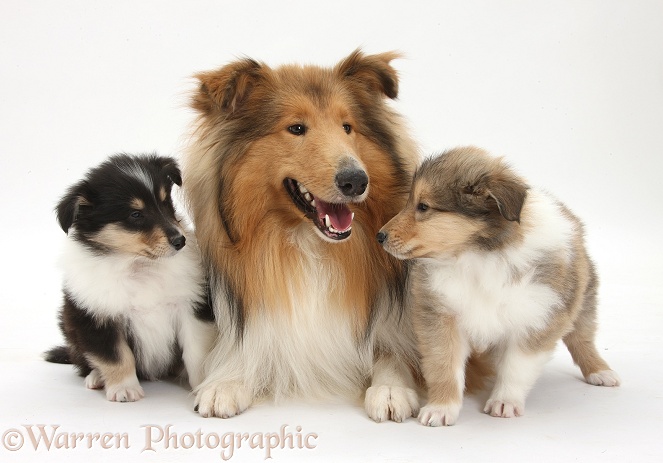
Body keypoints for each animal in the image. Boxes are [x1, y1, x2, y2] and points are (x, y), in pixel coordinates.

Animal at [45, 154, 217, 400]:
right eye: (135, 214)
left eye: (166, 203)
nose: (180, 241)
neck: (139, 266)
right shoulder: (98, 317)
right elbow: (115, 356)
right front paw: (125, 389)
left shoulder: (191, 306)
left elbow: (196, 353)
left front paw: (203, 385)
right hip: (71, 327)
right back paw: (96, 377)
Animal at [182, 49, 420, 420]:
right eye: (296, 128)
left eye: (347, 127)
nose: (356, 180)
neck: (308, 246)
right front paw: (227, 380)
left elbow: (392, 353)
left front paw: (391, 388)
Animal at [378, 147, 624, 426]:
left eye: (423, 206)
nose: (380, 236)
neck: (477, 255)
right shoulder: (439, 316)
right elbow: (444, 366)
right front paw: (440, 409)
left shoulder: (537, 317)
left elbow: (516, 367)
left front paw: (504, 402)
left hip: (582, 298)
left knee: (583, 338)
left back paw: (600, 372)